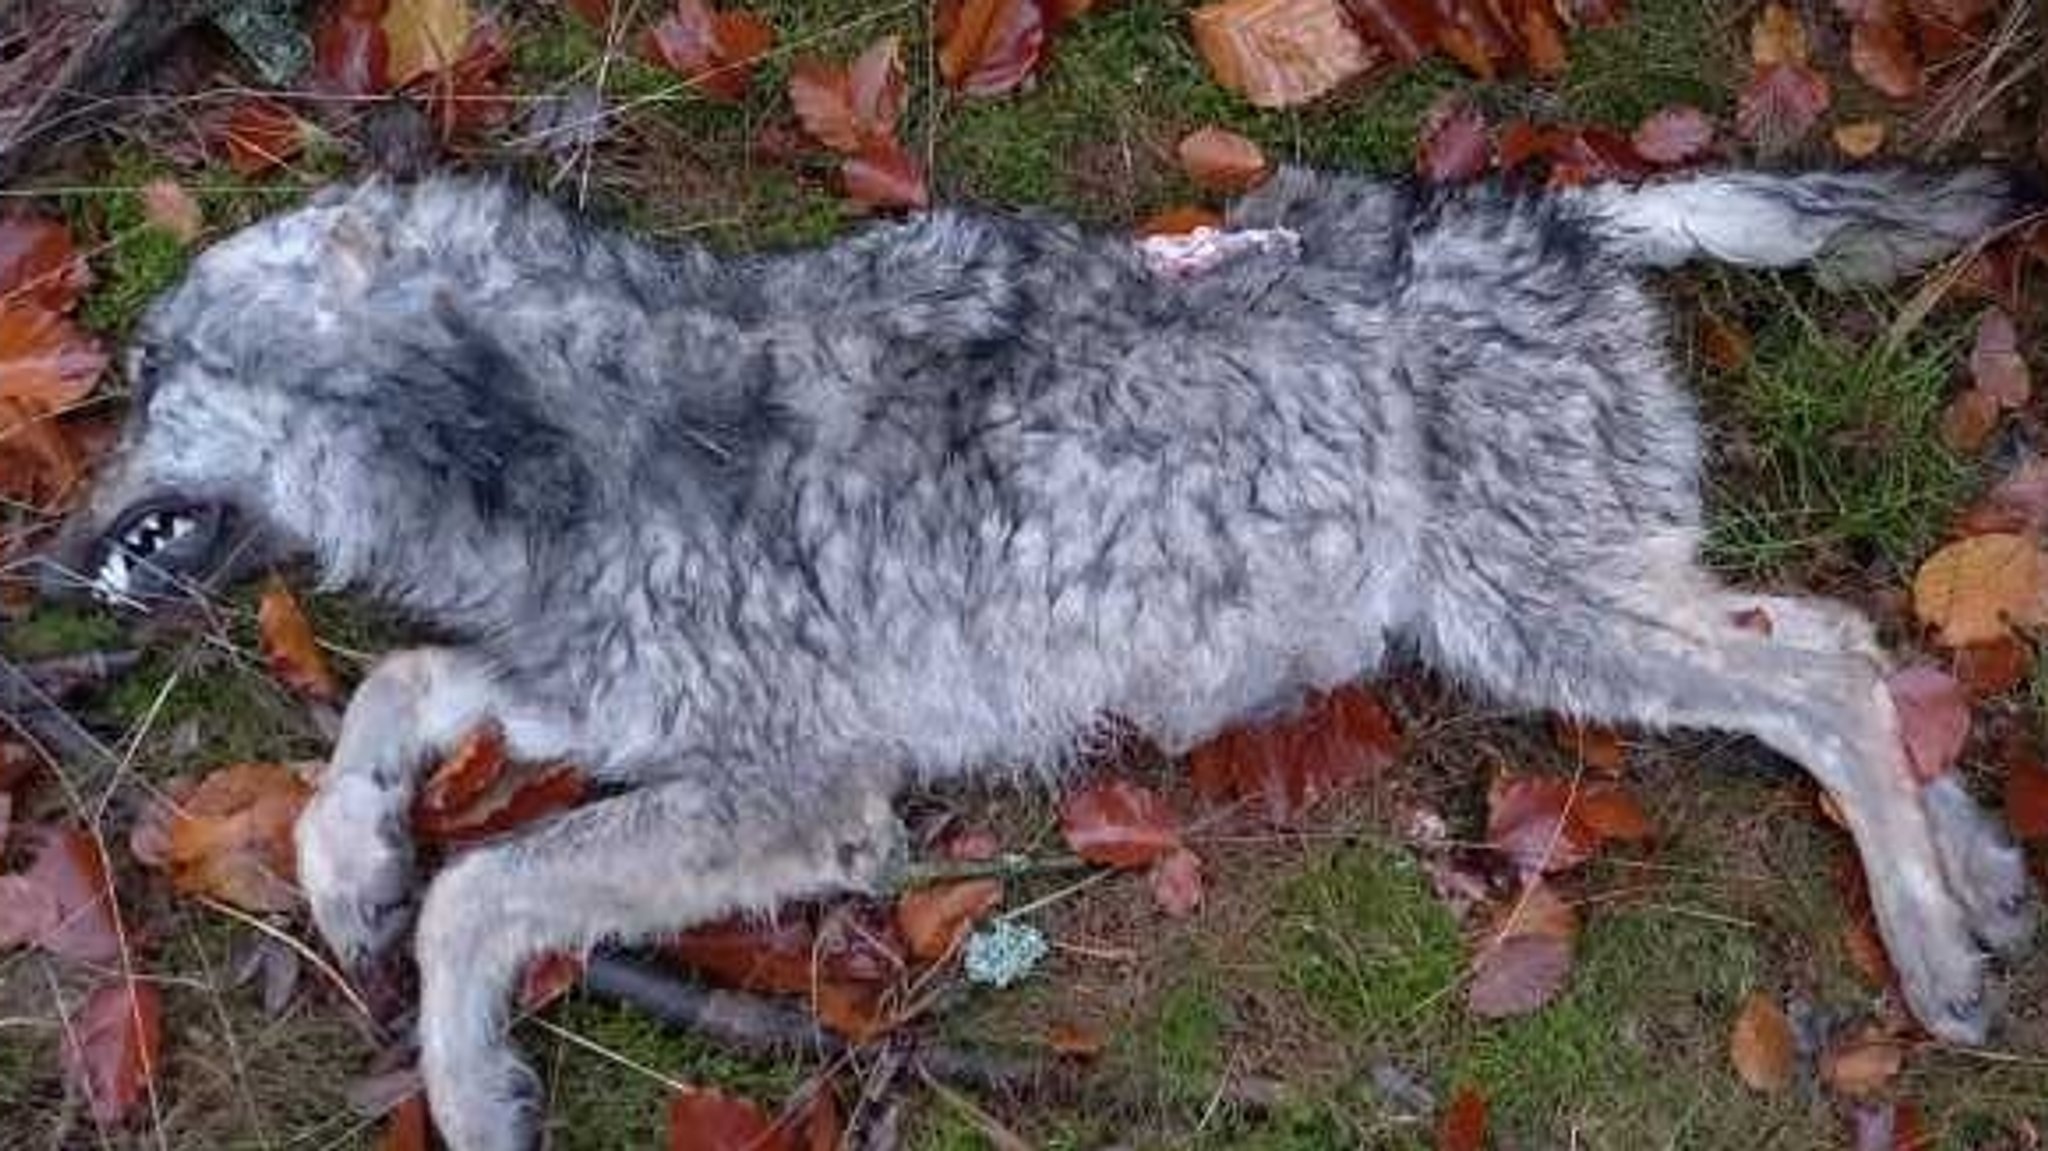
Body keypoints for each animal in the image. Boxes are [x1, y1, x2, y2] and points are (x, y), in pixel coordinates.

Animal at [45, 165, 2037, 1149]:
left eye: (147, 380)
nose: (40, 556)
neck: (543, 429)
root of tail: (1550, 209)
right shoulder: (612, 692)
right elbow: (398, 695)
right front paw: (346, 861)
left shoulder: (796, 786)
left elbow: (486, 888)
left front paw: (466, 1087)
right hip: (1584, 591)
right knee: (1838, 638)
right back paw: (1982, 871)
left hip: (1536, 616)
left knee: (1824, 675)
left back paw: (1935, 946)